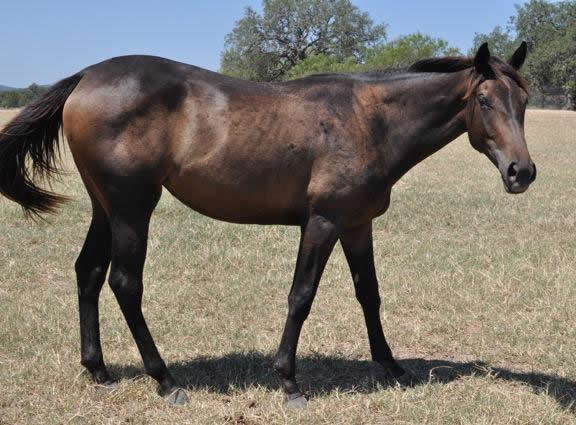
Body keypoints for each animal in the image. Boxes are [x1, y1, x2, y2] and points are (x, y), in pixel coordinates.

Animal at [0, 43, 536, 408]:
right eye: (484, 100)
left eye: (524, 101)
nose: (521, 172)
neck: (370, 120)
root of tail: (86, 75)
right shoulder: (322, 223)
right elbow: (301, 296)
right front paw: (288, 381)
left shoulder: (357, 224)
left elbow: (369, 293)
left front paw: (390, 366)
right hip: (133, 209)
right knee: (125, 283)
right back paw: (165, 380)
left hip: (105, 208)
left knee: (88, 273)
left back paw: (99, 371)